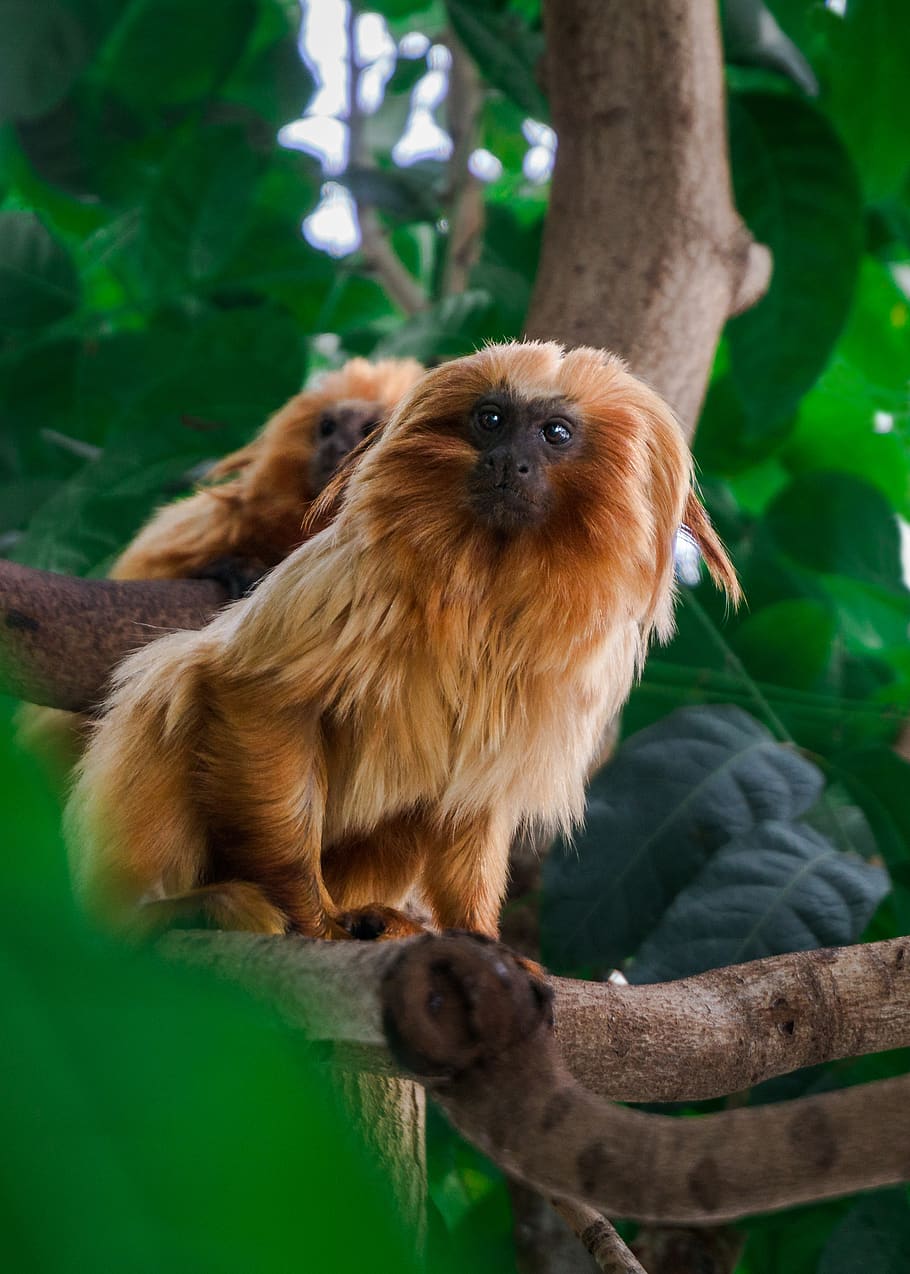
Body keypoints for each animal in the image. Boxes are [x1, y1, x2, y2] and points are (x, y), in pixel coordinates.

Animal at [65, 342, 740, 944]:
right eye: (491, 420)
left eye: (554, 433)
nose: (505, 462)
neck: (487, 584)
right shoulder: (353, 578)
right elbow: (251, 692)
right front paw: (310, 915)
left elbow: (473, 790)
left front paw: (476, 933)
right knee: (170, 682)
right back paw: (159, 911)